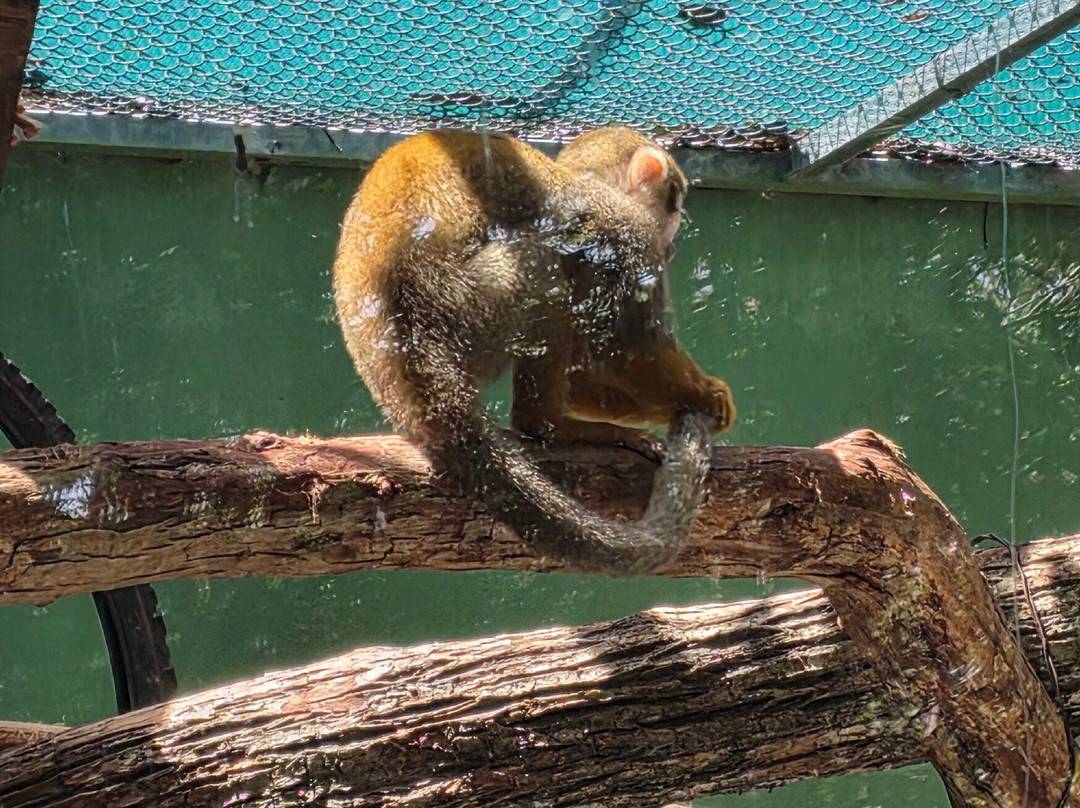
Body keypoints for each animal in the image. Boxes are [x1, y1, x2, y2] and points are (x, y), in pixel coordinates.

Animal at [333, 127, 735, 575]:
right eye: (675, 207)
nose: (675, 244)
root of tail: (407, 354)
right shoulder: (625, 228)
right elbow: (628, 353)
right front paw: (707, 397)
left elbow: (588, 376)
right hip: (468, 303)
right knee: (543, 264)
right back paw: (544, 420)